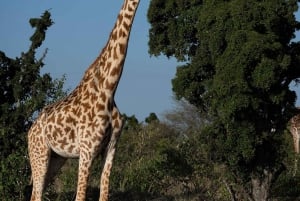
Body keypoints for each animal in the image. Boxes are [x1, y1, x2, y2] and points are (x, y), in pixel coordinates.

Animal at [27, 0, 141, 200]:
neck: (109, 88)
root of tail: (30, 131)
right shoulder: (87, 150)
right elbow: (80, 195)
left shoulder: (111, 148)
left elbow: (104, 194)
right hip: (38, 153)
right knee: (37, 194)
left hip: (56, 159)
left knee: (35, 194)